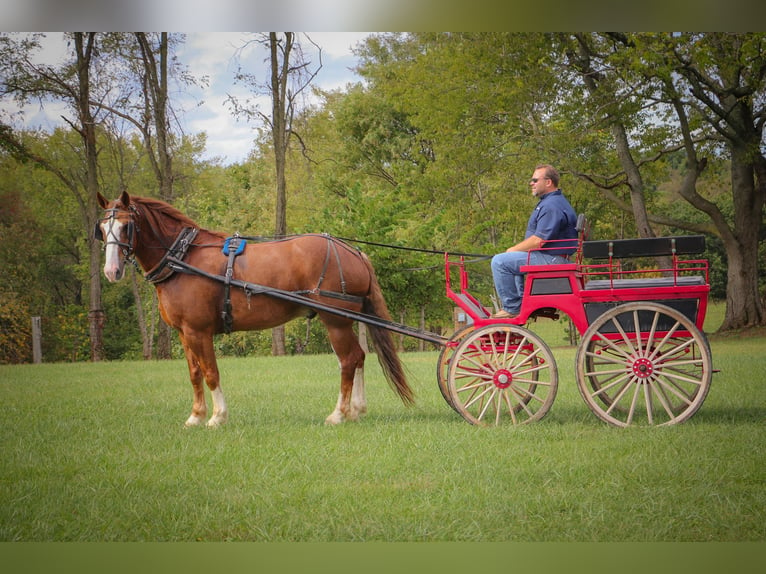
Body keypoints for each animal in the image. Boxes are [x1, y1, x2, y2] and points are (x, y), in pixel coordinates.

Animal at [95, 192, 414, 428]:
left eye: (126, 226)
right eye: (102, 229)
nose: (111, 271)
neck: (184, 259)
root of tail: (354, 252)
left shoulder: (199, 331)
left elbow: (211, 373)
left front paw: (217, 417)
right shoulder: (184, 333)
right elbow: (195, 374)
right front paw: (195, 416)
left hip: (336, 321)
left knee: (348, 360)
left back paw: (338, 414)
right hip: (345, 321)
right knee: (358, 357)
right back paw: (357, 410)